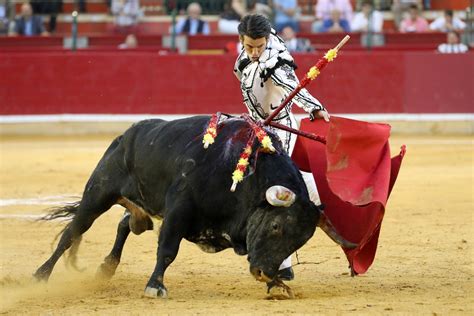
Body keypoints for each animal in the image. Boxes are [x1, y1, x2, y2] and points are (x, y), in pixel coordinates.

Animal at [33, 115, 356, 296]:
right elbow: (167, 250)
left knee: (126, 223)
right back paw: (41, 274)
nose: (264, 273)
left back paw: (106, 268)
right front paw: (155, 286)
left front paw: (277, 286)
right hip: (98, 192)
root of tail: (127, 135)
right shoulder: (179, 208)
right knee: (73, 232)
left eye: (299, 242)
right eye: (275, 226)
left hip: (142, 210)